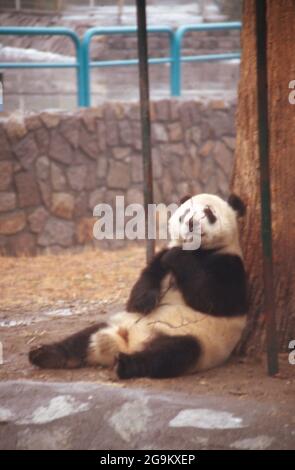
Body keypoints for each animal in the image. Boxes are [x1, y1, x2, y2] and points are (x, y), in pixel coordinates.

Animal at [28, 193, 249, 380]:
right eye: (185, 213)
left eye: (210, 213)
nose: (191, 223)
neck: (198, 251)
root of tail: (130, 342)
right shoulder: (159, 259)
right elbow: (142, 285)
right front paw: (144, 303)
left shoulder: (229, 263)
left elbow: (215, 299)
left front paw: (179, 257)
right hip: (120, 323)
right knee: (84, 337)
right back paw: (45, 354)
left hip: (195, 340)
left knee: (170, 355)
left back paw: (124, 365)